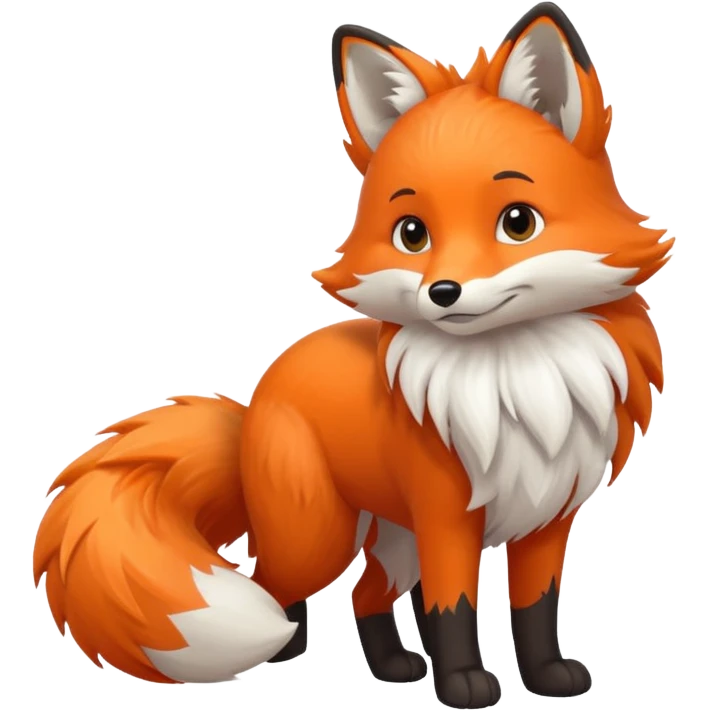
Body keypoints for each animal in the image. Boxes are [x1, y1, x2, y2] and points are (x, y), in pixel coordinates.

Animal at [32, 4, 674, 708]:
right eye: (412, 234)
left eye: (518, 223)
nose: (442, 293)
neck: (512, 380)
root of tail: (255, 399)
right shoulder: (445, 518)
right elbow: (452, 607)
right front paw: (464, 684)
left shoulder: (547, 518)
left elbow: (533, 609)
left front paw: (545, 678)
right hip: (323, 535)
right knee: (276, 585)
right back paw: (283, 650)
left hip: (393, 541)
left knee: (367, 596)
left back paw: (393, 665)